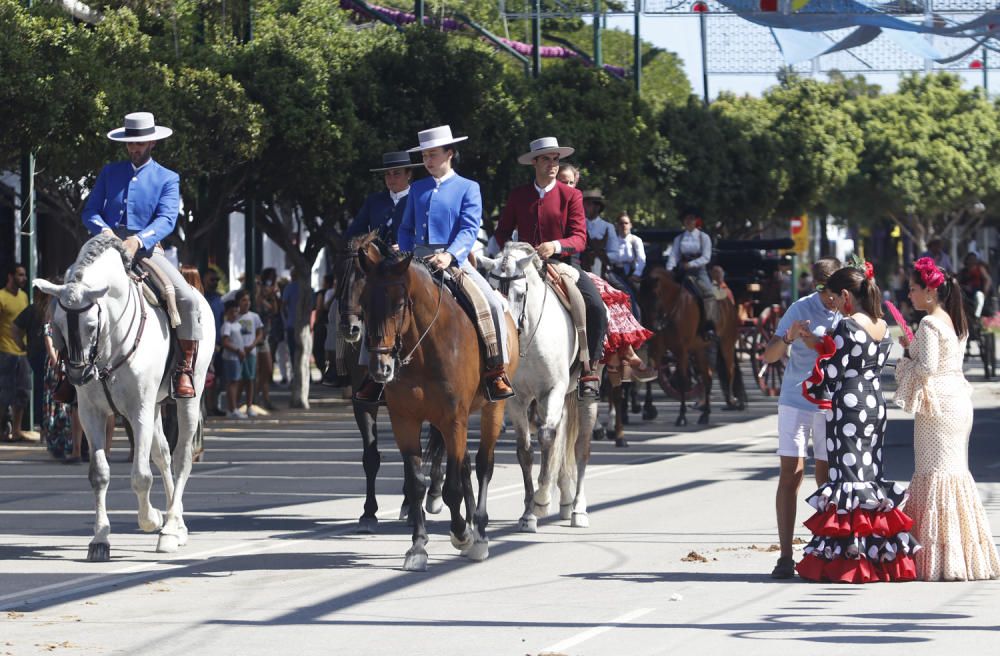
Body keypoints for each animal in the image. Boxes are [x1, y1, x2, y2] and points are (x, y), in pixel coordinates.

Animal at [34, 234, 213, 560]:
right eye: (57, 324)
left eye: (91, 324)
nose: (77, 374)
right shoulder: (91, 412)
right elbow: (99, 474)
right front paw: (100, 539)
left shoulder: (138, 410)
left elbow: (141, 475)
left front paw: (151, 519)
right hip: (155, 406)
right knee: (163, 454)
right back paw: (177, 523)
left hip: (187, 400)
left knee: (181, 458)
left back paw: (170, 528)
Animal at [360, 241, 520, 568]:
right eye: (364, 304)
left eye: (399, 305)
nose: (380, 368)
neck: (423, 346)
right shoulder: (404, 420)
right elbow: (417, 483)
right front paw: (418, 546)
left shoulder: (454, 419)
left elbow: (453, 487)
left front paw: (461, 534)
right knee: (466, 466)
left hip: (492, 409)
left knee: (483, 465)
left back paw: (478, 534)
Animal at [480, 243, 596, 532]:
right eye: (491, 289)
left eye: (520, 293)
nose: (506, 330)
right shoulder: (517, 400)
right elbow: (525, 450)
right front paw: (528, 513)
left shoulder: (551, 390)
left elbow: (546, 438)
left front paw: (542, 501)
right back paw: (565, 501)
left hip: (585, 397)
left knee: (580, 447)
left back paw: (578, 509)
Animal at [640, 266, 744, 426]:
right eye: (640, 299)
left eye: (655, 296)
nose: (652, 328)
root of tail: (729, 302)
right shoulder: (657, 348)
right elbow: (650, 375)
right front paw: (648, 410)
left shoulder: (681, 351)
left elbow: (682, 381)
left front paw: (682, 416)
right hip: (700, 350)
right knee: (707, 378)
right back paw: (705, 414)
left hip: (726, 344)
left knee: (729, 371)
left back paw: (731, 402)